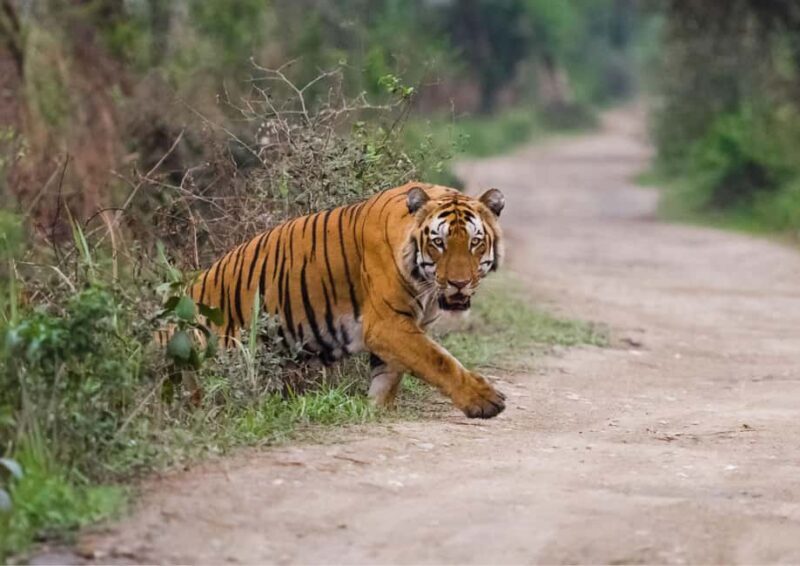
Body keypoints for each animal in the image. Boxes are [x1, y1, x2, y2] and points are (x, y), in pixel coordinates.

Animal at [175, 182, 506, 418]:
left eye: (475, 242)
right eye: (439, 242)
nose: (459, 283)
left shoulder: (401, 327)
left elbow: (389, 374)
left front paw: (376, 410)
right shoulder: (387, 324)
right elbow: (438, 360)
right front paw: (484, 400)